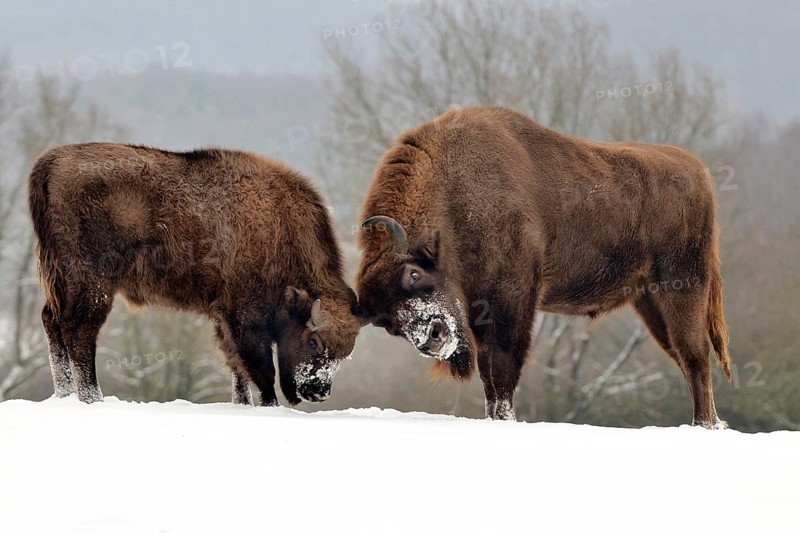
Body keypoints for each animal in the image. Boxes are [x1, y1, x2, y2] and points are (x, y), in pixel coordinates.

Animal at [29, 143, 360, 405]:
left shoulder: (224, 319)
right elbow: (261, 371)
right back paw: (92, 399)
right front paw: (268, 406)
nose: (319, 392)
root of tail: (52, 162)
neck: (277, 225)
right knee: (79, 332)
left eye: (345, 355)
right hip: (93, 284)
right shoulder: (244, 317)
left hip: (61, 282)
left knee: (52, 322)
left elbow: (237, 371)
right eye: (315, 342)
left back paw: (65, 396)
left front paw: (242, 404)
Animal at [356, 106, 731, 427]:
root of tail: (698, 174)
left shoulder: (513, 300)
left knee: (696, 355)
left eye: (414, 274)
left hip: (682, 288)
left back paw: (705, 424)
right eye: (387, 323)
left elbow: (503, 367)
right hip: (649, 302)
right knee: (684, 357)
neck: (454, 193)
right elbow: (489, 377)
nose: (431, 338)